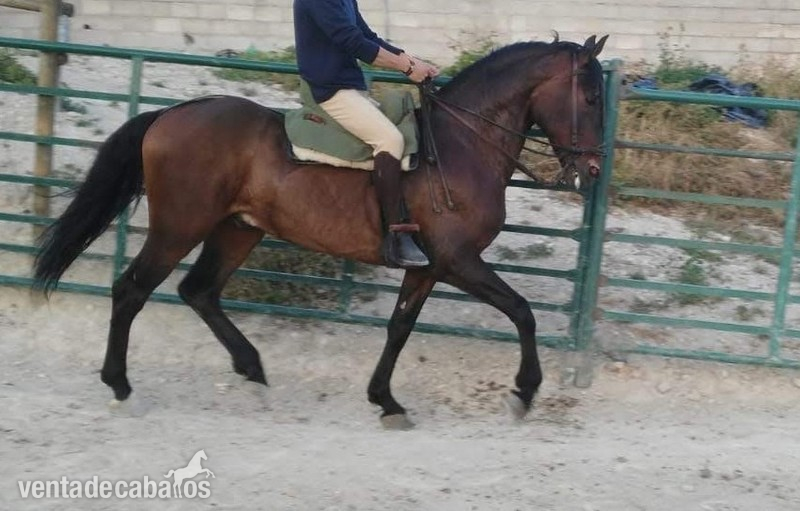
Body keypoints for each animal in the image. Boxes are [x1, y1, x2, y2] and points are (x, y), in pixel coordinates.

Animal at [33, 34, 608, 429]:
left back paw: (253, 371)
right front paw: (524, 392)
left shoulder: (427, 268)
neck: (461, 145)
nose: (594, 169)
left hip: (236, 230)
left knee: (199, 291)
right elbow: (522, 311)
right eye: (591, 99)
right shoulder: (458, 261)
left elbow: (400, 328)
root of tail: (172, 114)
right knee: (131, 291)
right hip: (179, 227)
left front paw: (386, 401)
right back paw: (122, 386)